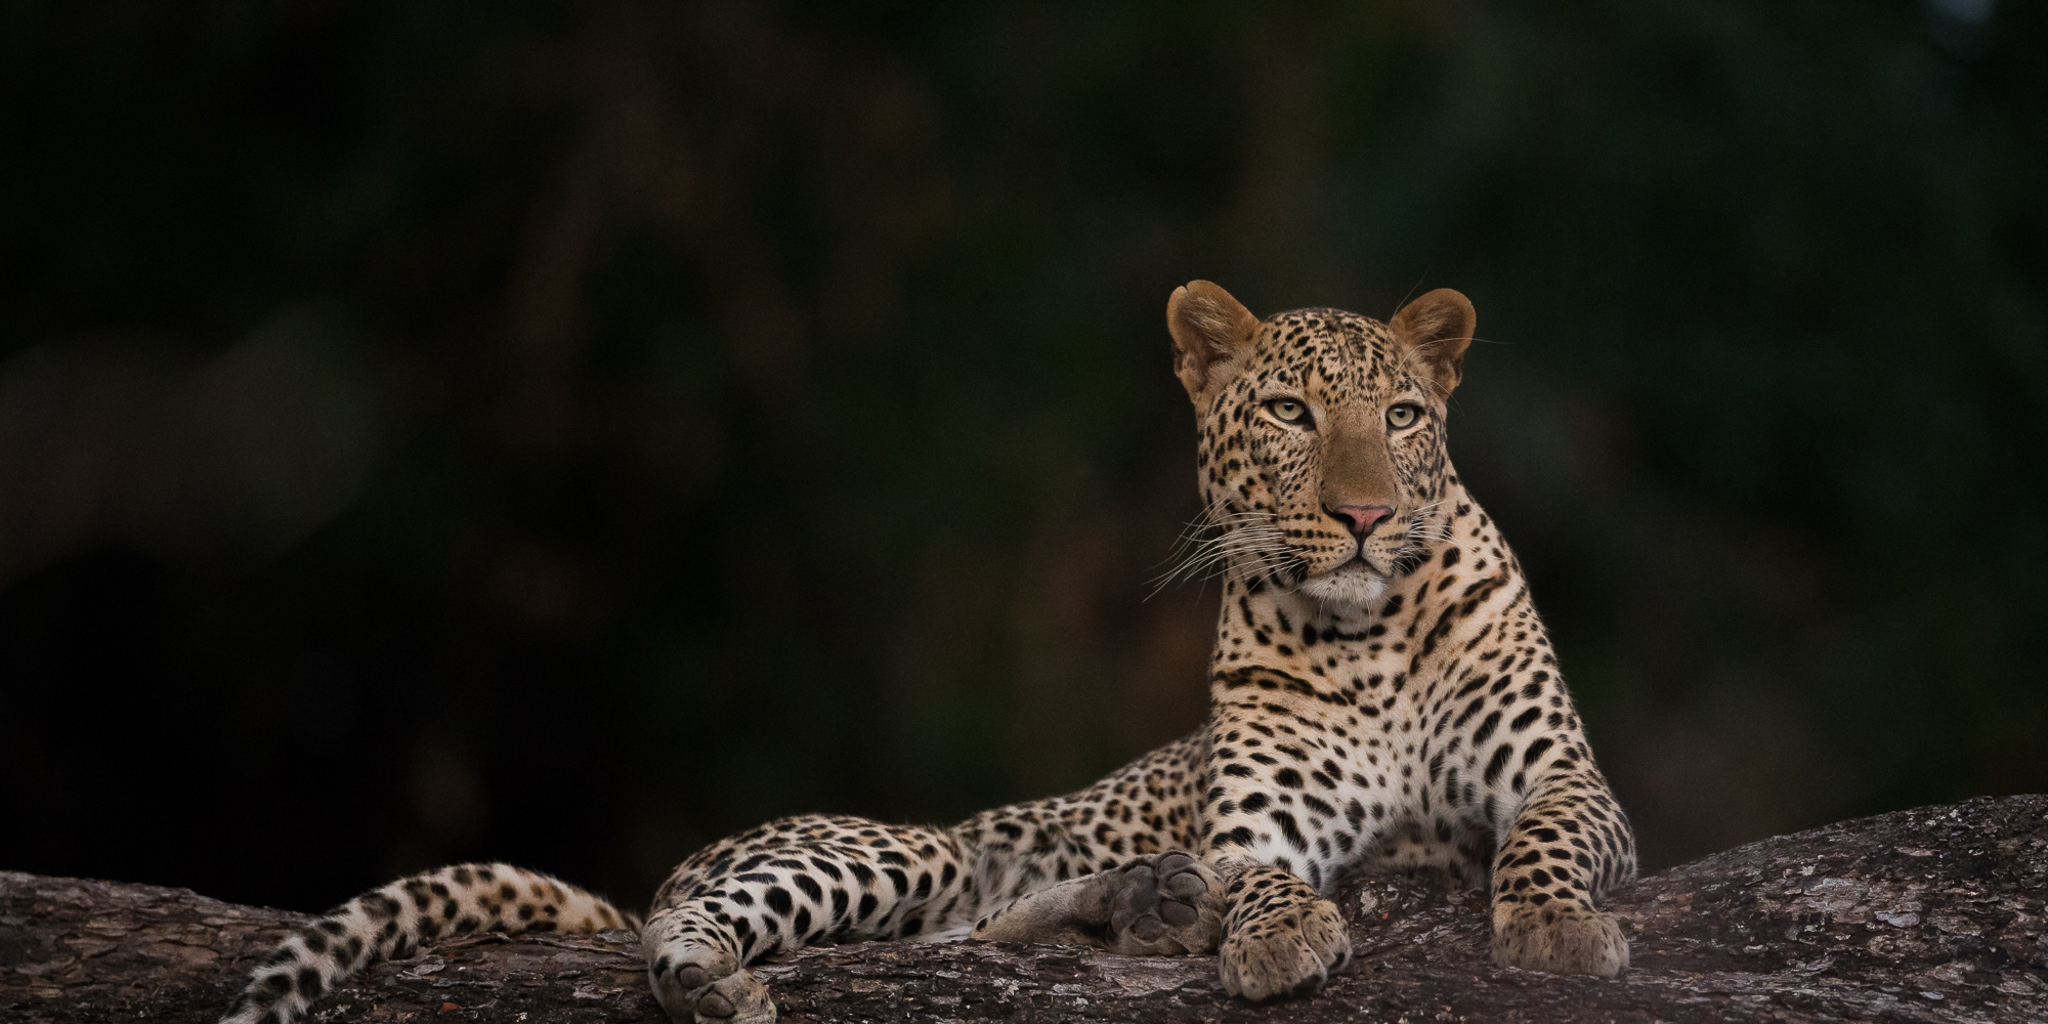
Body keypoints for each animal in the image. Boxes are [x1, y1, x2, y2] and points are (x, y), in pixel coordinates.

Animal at [220, 280, 1636, 1024]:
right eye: (1289, 411)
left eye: (1399, 415)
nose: (1361, 515)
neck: (1366, 635)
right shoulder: (1259, 826)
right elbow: (1259, 879)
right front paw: (1276, 936)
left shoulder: (1565, 780)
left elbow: (1544, 840)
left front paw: (1556, 933)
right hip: (890, 852)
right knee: (714, 931)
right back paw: (712, 979)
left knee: (971, 932)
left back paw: (1141, 905)